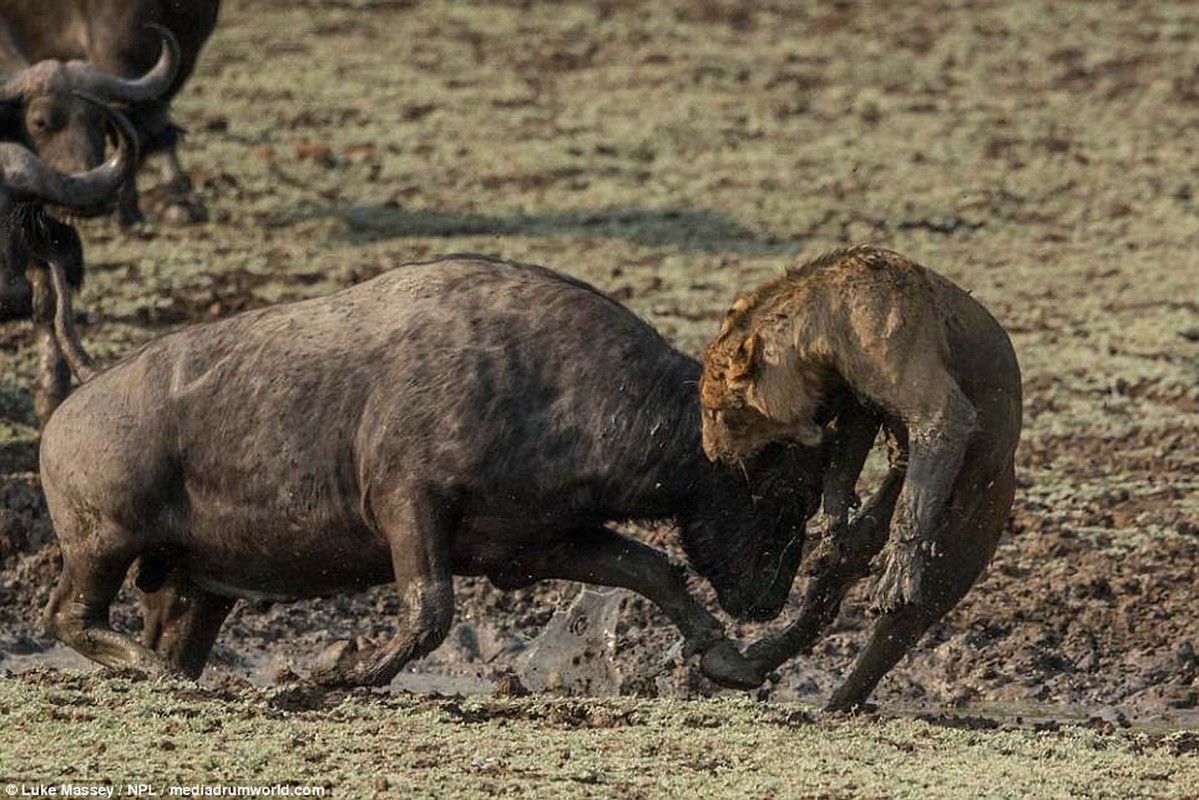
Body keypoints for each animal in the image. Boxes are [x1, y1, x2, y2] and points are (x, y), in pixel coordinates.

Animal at [39, 255, 824, 690]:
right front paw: (339, 674)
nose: (767, 601)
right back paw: (163, 676)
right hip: (101, 544)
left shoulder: (537, 545)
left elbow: (654, 569)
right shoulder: (409, 506)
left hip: (193, 590)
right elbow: (430, 611)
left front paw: (728, 659)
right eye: (786, 489)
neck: (549, 381)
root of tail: (67, 410)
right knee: (69, 616)